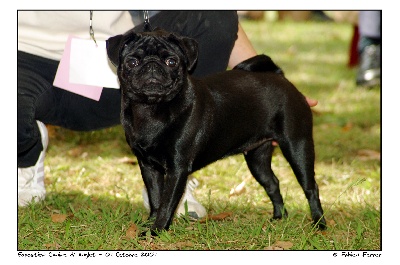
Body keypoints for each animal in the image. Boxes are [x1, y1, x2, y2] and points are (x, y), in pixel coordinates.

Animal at [106, 28, 324, 233]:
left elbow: (167, 203)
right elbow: (156, 198)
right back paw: (279, 217)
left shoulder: (177, 168)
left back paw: (319, 223)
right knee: (273, 183)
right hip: (257, 159)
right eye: (132, 62)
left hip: (297, 147)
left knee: (311, 187)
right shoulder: (148, 166)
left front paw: (157, 230)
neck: (151, 109)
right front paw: (150, 223)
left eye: (171, 61)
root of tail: (280, 77)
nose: (152, 65)